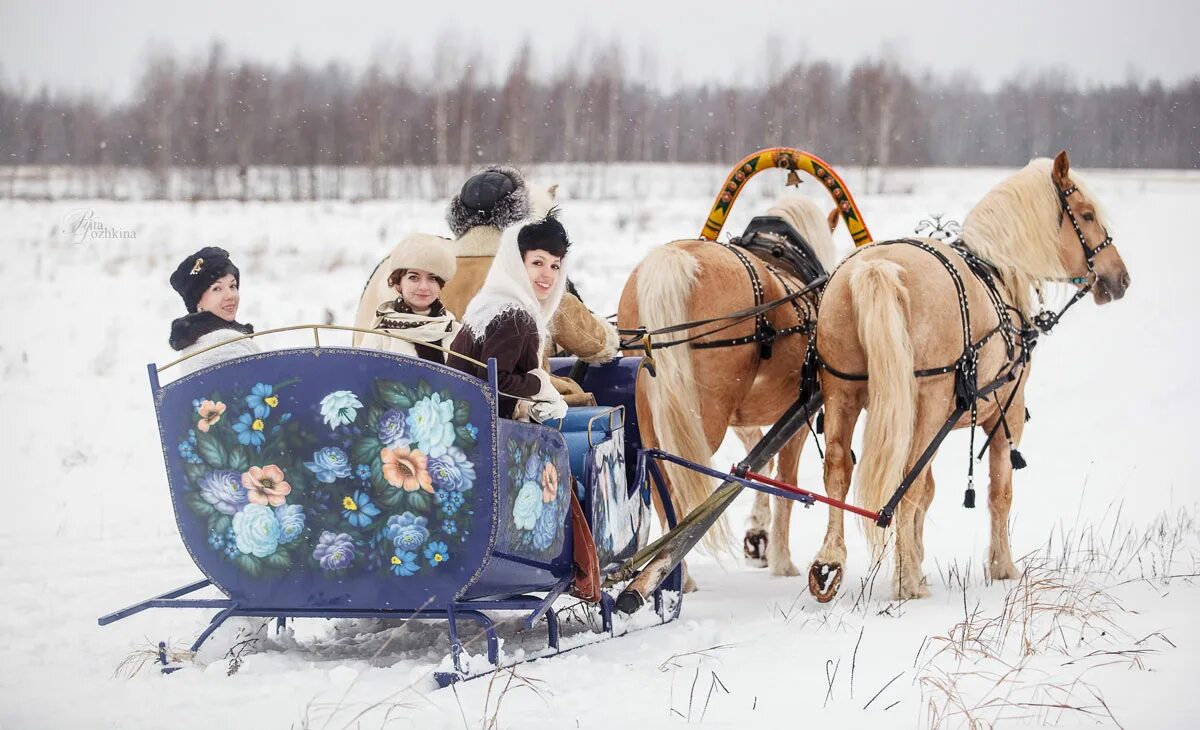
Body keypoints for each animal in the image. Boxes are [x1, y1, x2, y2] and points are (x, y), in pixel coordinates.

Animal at [614, 194, 840, 581]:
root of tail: (674, 262)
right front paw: (782, 562)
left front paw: (759, 537)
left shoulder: (743, 418)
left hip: (651, 413)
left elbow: (754, 467)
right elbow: (784, 481)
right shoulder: (798, 416)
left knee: (661, 482)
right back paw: (674, 571)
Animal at [801, 151, 1128, 602]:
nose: (1120, 277)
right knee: (906, 480)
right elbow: (998, 492)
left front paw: (918, 560)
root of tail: (877, 268)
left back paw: (830, 563)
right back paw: (904, 583)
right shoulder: (1007, 412)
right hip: (926, 403)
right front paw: (1002, 567)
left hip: (843, 391)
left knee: (838, 470)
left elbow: (927, 492)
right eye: (1087, 214)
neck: (997, 270)